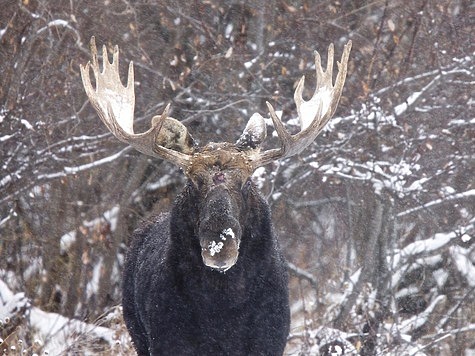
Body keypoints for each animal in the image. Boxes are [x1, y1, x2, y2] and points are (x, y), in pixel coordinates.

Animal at [80, 36, 352, 356]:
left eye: (247, 182)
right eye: (191, 181)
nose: (219, 246)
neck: (223, 311)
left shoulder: (269, 342)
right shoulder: (167, 342)